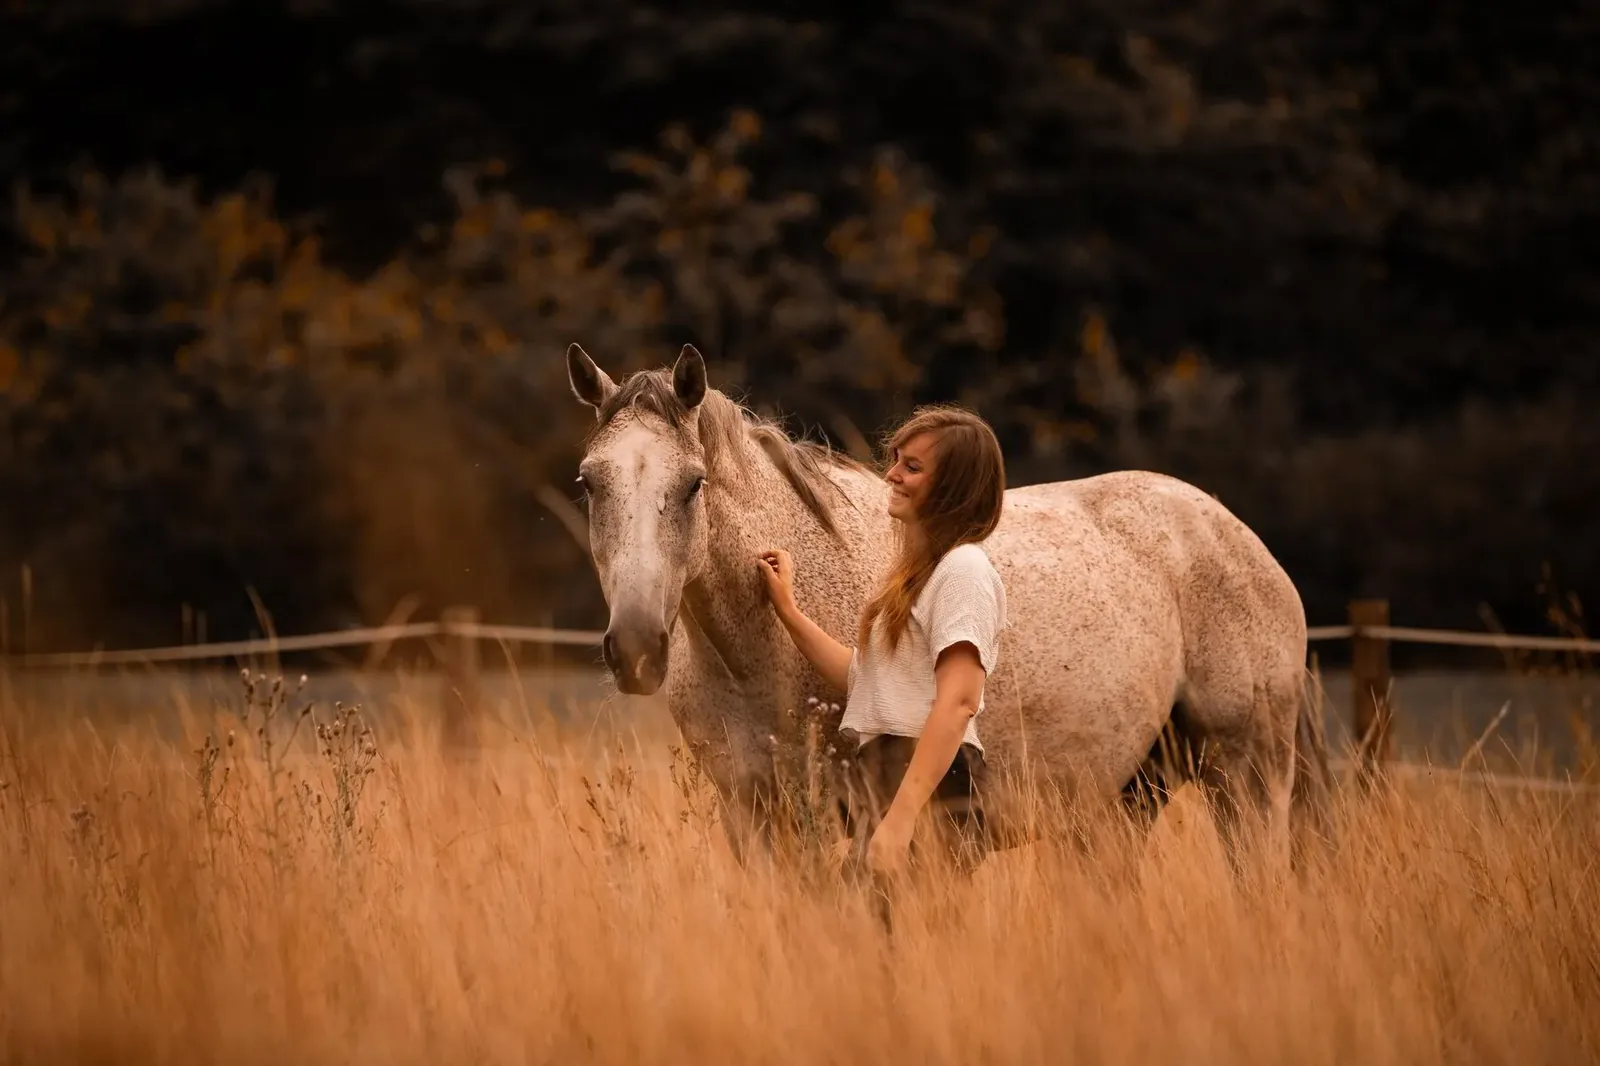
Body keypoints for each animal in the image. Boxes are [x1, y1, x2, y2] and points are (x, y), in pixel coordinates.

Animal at [563, 341, 1334, 875]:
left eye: (693, 484)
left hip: (1248, 779)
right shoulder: (752, 818)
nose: (636, 650)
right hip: (1128, 796)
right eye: (588, 482)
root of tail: (1242, 541)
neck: (755, 659)